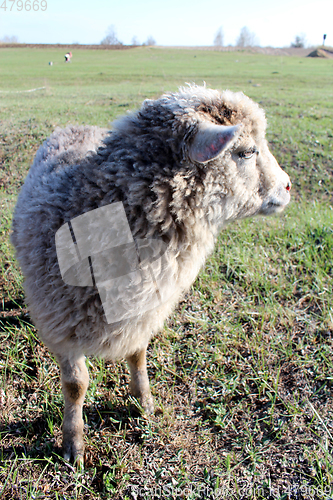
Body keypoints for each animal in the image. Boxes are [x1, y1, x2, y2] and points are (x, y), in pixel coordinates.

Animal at [11, 85, 290, 464]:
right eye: (246, 151)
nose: (288, 186)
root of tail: (76, 125)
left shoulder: (143, 310)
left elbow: (138, 355)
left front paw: (143, 402)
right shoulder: (62, 324)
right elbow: (76, 385)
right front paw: (74, 444)